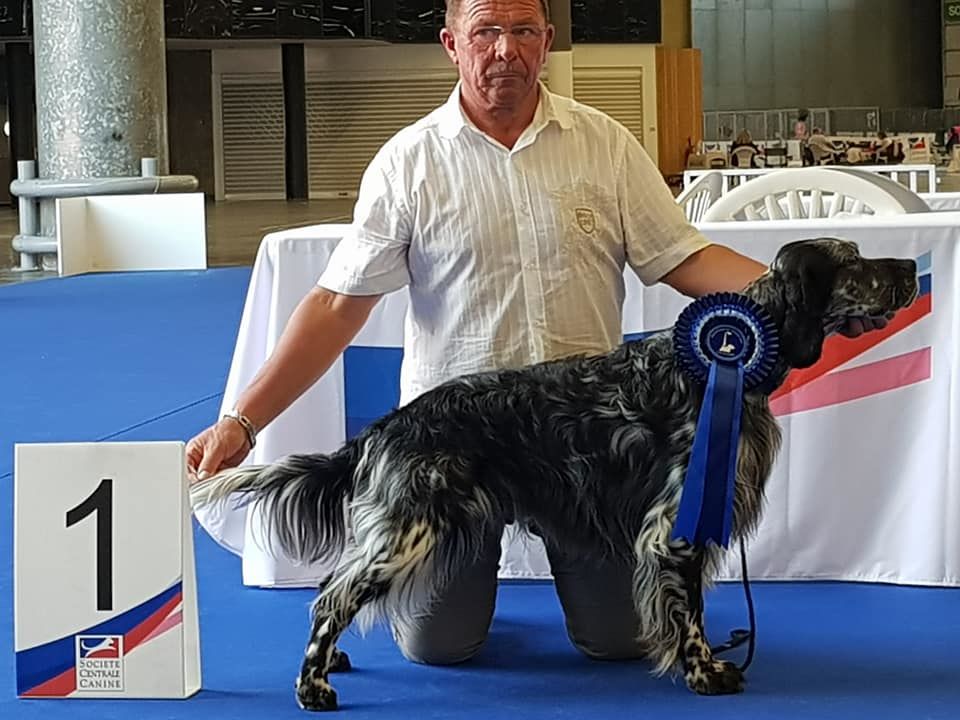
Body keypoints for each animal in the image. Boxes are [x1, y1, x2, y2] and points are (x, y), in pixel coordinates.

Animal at [191, 238, 918, 711]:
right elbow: (687, 612)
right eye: (852, 261)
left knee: (331, 588)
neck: (724, 364)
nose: (911, 266)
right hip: (410, 531)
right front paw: (706, 671)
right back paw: (314, 685)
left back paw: (335, 661)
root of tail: (384, 428)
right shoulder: (671, 527)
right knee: (331, 598)